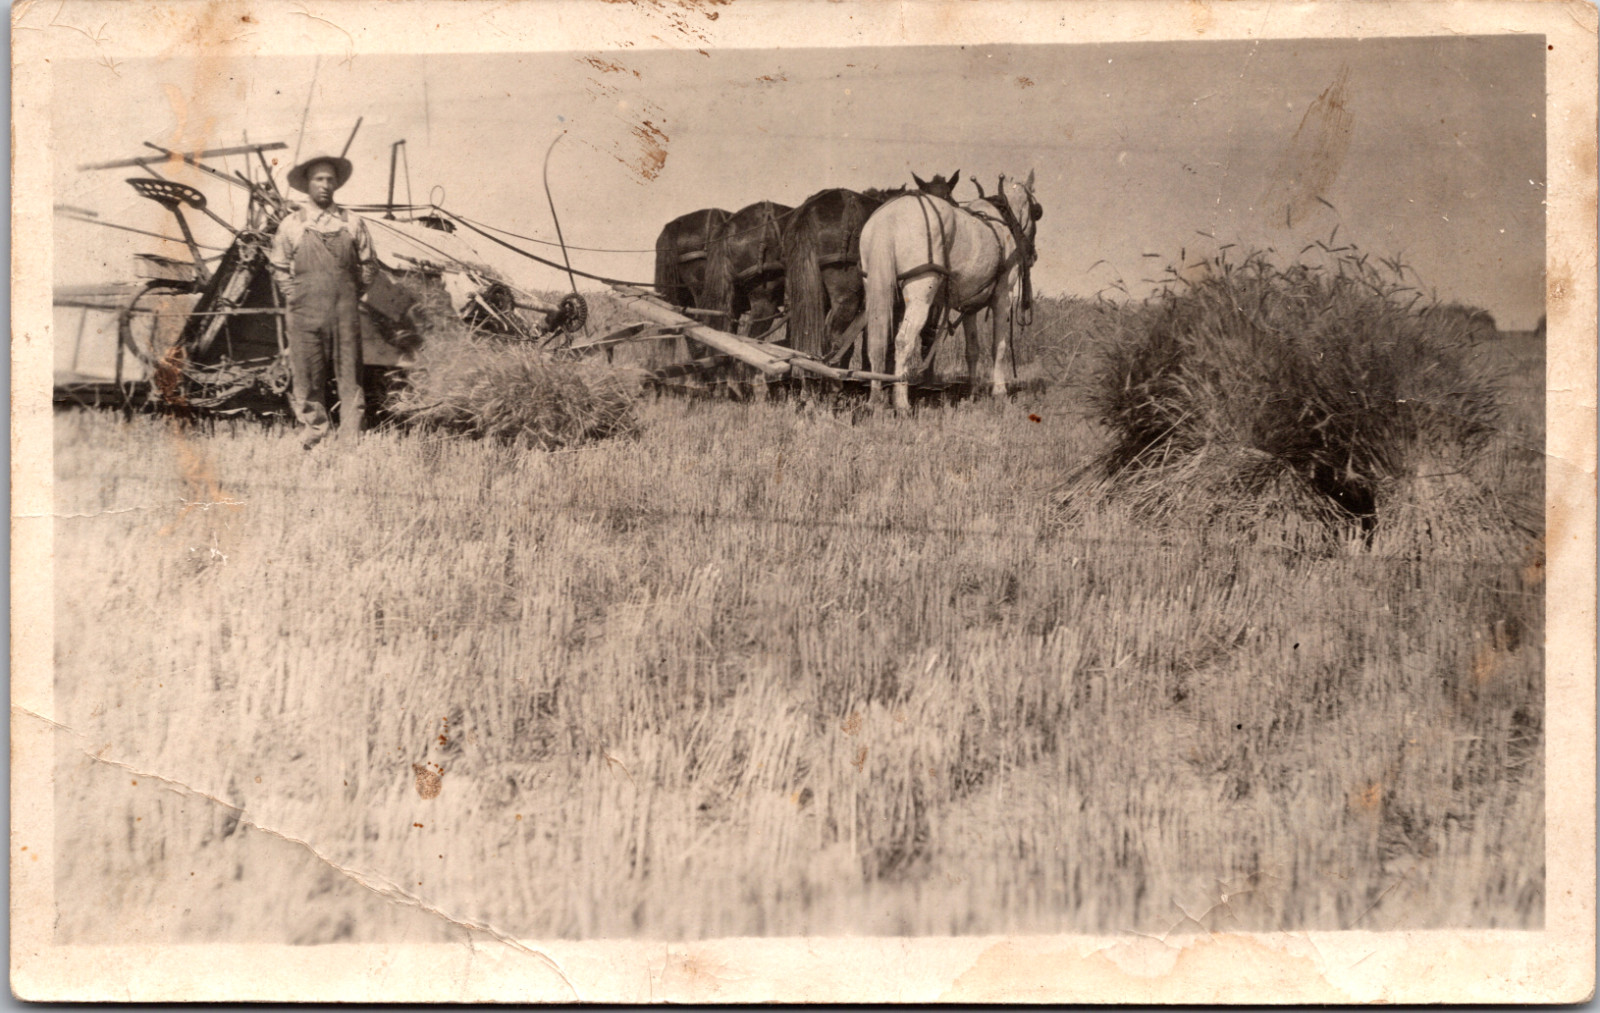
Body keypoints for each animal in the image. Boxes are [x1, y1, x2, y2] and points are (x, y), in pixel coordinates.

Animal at [859, 171, 1042, 410]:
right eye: (1037, 212)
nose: (1032, 255)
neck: (1003, 221)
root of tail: (889, 218)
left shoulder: (970, 306)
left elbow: (972, 349)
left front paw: (973, 392)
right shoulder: (1003, 297)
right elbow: (998, 346)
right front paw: (999, 392)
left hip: (875, 286)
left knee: (876, 342)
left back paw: (875, 400)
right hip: (920, 294)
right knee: (903, 342)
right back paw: (901, 403)